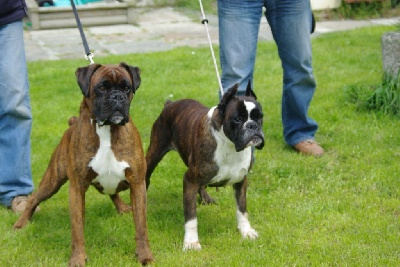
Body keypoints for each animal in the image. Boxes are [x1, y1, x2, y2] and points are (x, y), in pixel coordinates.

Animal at [13, 63, 154, 267]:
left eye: (127, 88)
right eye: (101, 87)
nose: (117, 97)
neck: (107, 130)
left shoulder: (137, 184)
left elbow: (141, 226)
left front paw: (144, 255)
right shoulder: (77, 189)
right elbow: (77, 229)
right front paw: (78, 258)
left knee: (113, 192)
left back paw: (122, 208)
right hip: (52, 180)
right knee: (34, 199)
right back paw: (21, 223)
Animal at [145, 82, 264, 252]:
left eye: (260, 117)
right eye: (238, 119)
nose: (253, 126)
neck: (229, 145)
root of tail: (169, 104)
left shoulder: (241, 182)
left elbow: (242, 209)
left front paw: (246, 231)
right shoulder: (189, 181)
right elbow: (191, 217)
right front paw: (191, 242)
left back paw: (206, 198)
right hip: (155, 152)